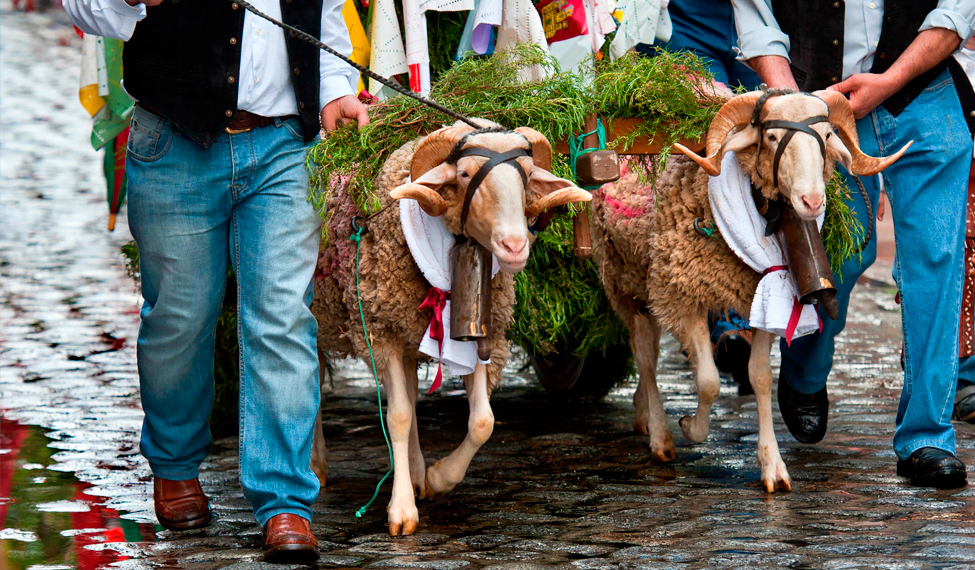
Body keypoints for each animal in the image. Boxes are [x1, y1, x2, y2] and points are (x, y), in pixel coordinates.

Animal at [308, 118, 592, 532]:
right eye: (464, 174)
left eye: (525, 176)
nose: (515, 246)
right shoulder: (380, 334)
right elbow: (397, 417)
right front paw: (402, 510)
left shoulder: (481, 332)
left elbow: (482, 421)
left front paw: (440, 476)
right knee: (308, 380)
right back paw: (316, 466)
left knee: (409, 394)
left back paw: (416, 472)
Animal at [592, 89, 912, 488]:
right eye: (772, 137)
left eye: (825, 136)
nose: (812, 201)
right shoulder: (684, 295)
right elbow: (709, 381)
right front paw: (690, 427)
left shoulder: (759, 299)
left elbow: (759, 377)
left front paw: (773, 465)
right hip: (626, 283)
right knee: (645, 356)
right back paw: (660, 435)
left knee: (648, 351)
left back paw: (642, 413)